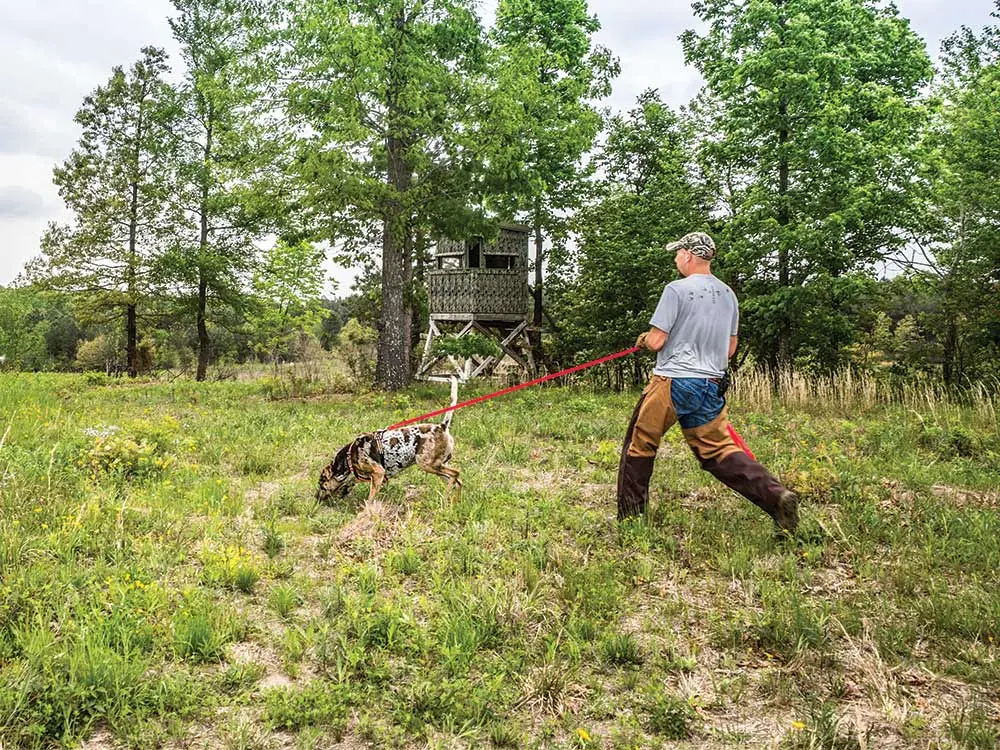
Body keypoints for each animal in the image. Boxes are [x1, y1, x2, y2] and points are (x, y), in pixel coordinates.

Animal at [314, 378, 462, 502]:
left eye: (321, 484)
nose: (315, 497)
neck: (349, 457)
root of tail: (441, 427)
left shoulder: (378, 474)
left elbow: (370, 499)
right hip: (438, 467)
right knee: (457, 482)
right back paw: (454, 500)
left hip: (426, 464)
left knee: (455, 474)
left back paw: (446, 496)